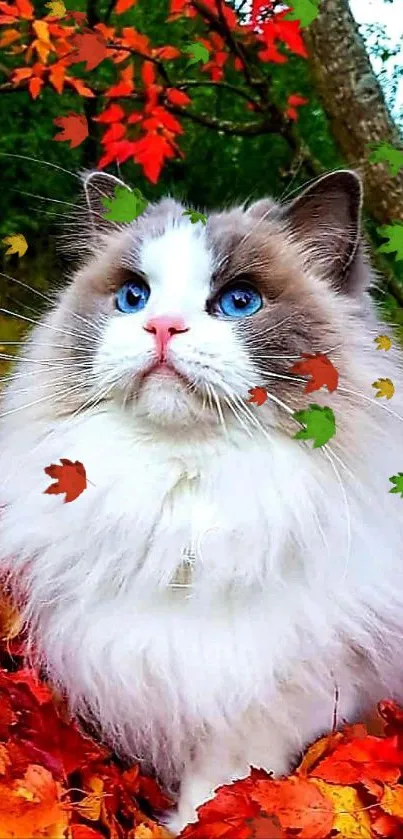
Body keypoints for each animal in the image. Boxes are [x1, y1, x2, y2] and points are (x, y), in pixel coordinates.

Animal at [0, 171, 403, 832]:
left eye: (241, 302)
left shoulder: (271, 690)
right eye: (133, 297)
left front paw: (193, 823)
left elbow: (222, 783)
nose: (161, 326)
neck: (185, 496)